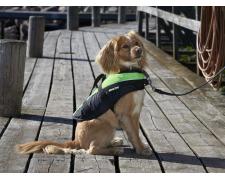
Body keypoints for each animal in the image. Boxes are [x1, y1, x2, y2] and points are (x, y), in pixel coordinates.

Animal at [16, 31, 152, 156]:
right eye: (125, 46)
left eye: (136, 43)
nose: (139, 50)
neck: (128, 70)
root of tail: (77, 140)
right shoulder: (126, 115)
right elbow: (134, 134)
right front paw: (142, 149)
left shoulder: (135, 113)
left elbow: (135, 132)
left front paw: (140, 147)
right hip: (106, 125)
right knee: (92, 149)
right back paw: (115, 149)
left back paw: (114, 142)